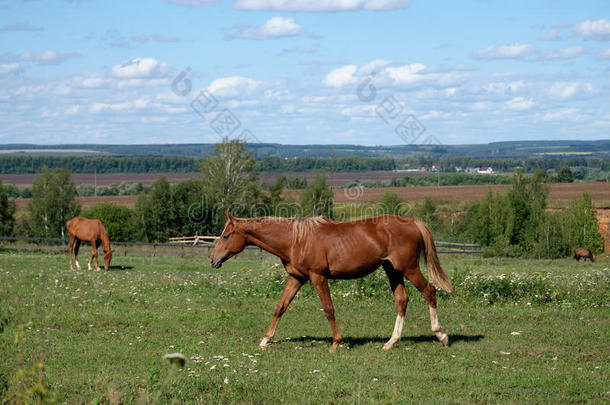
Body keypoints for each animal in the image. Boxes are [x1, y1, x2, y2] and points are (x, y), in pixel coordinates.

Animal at [209, 213, 452, 352]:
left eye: (226, 236)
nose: (213, 259)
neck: (296, 239)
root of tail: (412, 222)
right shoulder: (297, 277)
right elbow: (281, 307)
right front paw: (265, 340)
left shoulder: (318, 277)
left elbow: (328, 309)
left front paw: (336, 343)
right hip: (393, 270)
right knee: (402, 299)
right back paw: (391, 342)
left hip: (409, 268)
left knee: (429, 291)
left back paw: (441, 335)